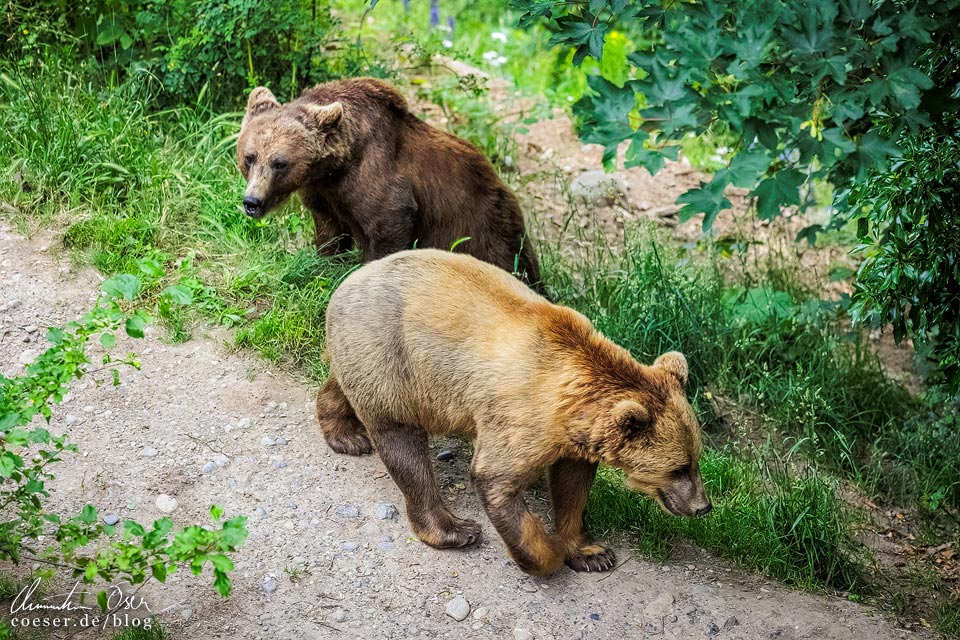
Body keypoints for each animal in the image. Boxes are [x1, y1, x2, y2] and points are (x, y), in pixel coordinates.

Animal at [235, 75, 540, 288]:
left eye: (280, 162)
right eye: (249, 157)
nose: (252, 202)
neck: (334, 168)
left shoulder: (379, 183)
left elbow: (388, 224)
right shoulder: (324, 195)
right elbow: (330, 234)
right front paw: (323, 262)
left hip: (485, 228)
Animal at [318, 250, 708, 576]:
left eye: (695, 459)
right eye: (678, 467)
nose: (703, 506)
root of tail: (347, 283)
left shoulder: (573, 436)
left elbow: (572, 486)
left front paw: (591, 552)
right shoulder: (522, 415)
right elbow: (496, 478)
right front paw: (546, 555)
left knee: (343, 386)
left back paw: (346, 434)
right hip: (393, 355)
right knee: (402, 442)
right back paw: (453, 529)